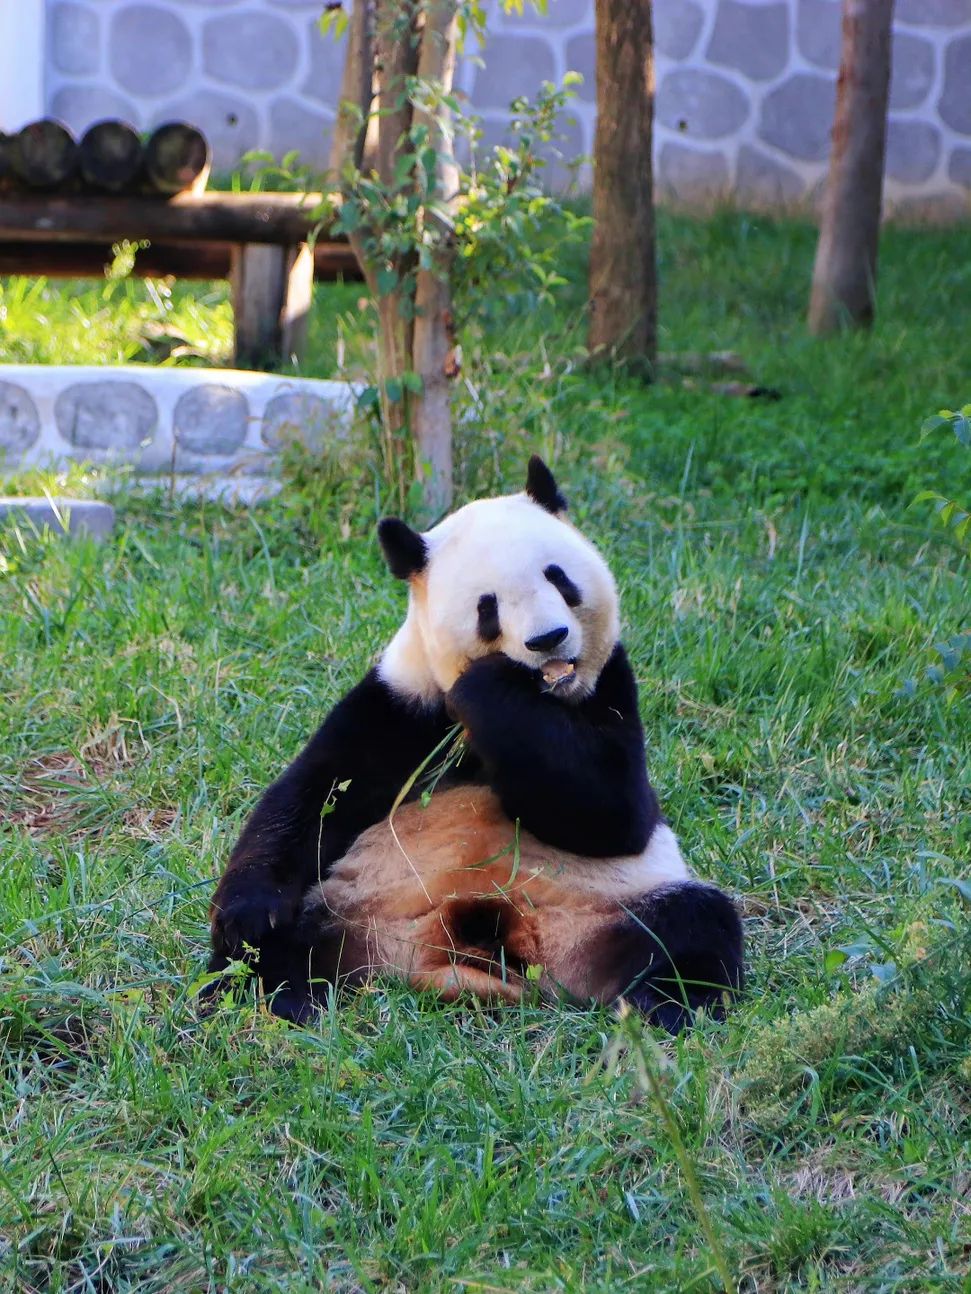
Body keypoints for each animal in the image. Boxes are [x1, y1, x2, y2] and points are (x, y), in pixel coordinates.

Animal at [211, 455, 745, 1030]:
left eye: (558, 577)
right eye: (487, 608)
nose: (548, 639)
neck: (541, 695)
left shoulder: (609, 688)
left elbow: (613, 812)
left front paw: (489, 687)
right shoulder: (402, 702)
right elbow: (315, 796)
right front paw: (250, 916)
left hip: (607, 903)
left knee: (690, 923)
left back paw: (670, 1003)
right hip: (351, 907)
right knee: (280, 947)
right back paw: (270, 996)